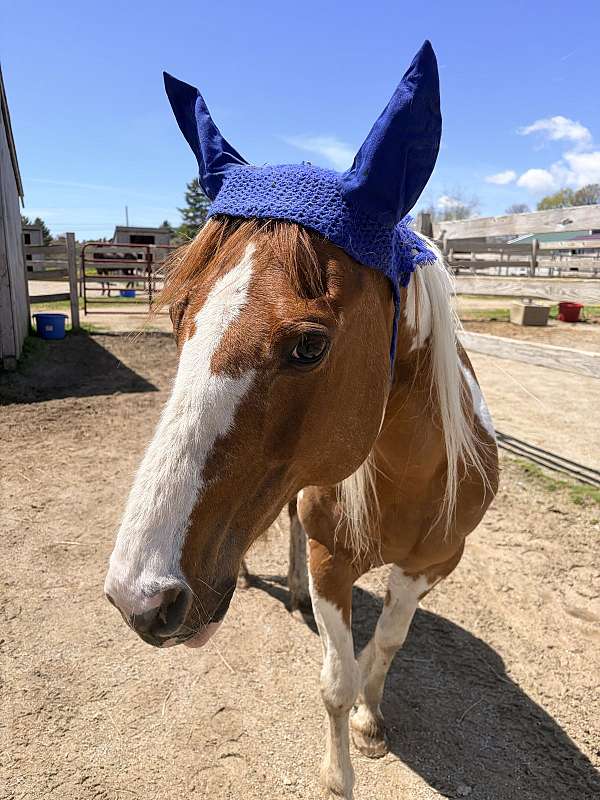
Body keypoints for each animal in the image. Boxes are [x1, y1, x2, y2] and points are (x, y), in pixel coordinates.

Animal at [104, 214, 498, 799]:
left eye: (310, 345)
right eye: (178, 317)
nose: (139, 599)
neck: (409, 475)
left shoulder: (431, 565)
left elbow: (385, 644)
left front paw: (369, 719)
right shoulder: (329, 560)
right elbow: (337, 681)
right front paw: (338, 776)